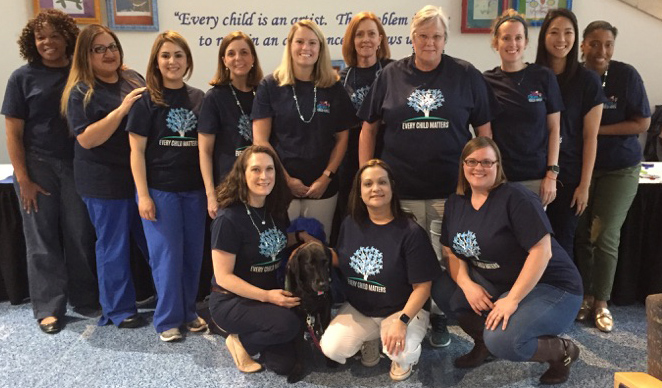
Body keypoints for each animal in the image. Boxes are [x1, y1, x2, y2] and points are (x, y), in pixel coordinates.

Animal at [286, 241, 338, 384]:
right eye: (310, 264)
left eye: (326, 262)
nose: (324, 285)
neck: (310, 294)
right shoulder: (297, 317)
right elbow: (298, 348)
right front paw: (297, 370)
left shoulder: (325, 312)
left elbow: (326, 336)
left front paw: (329, 359)